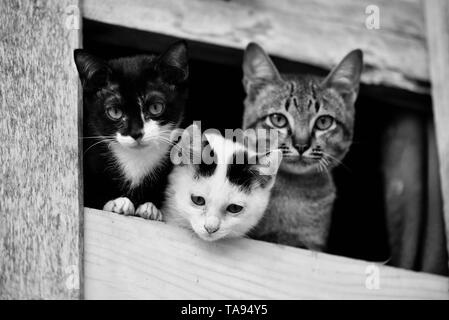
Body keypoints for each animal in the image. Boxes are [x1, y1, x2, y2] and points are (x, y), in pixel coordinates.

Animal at [73, 40, 187, 215]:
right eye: (115, 112)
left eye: (155, 107)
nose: (136, 132)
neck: (136, 159)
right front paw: (117, 203)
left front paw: (150, 208)